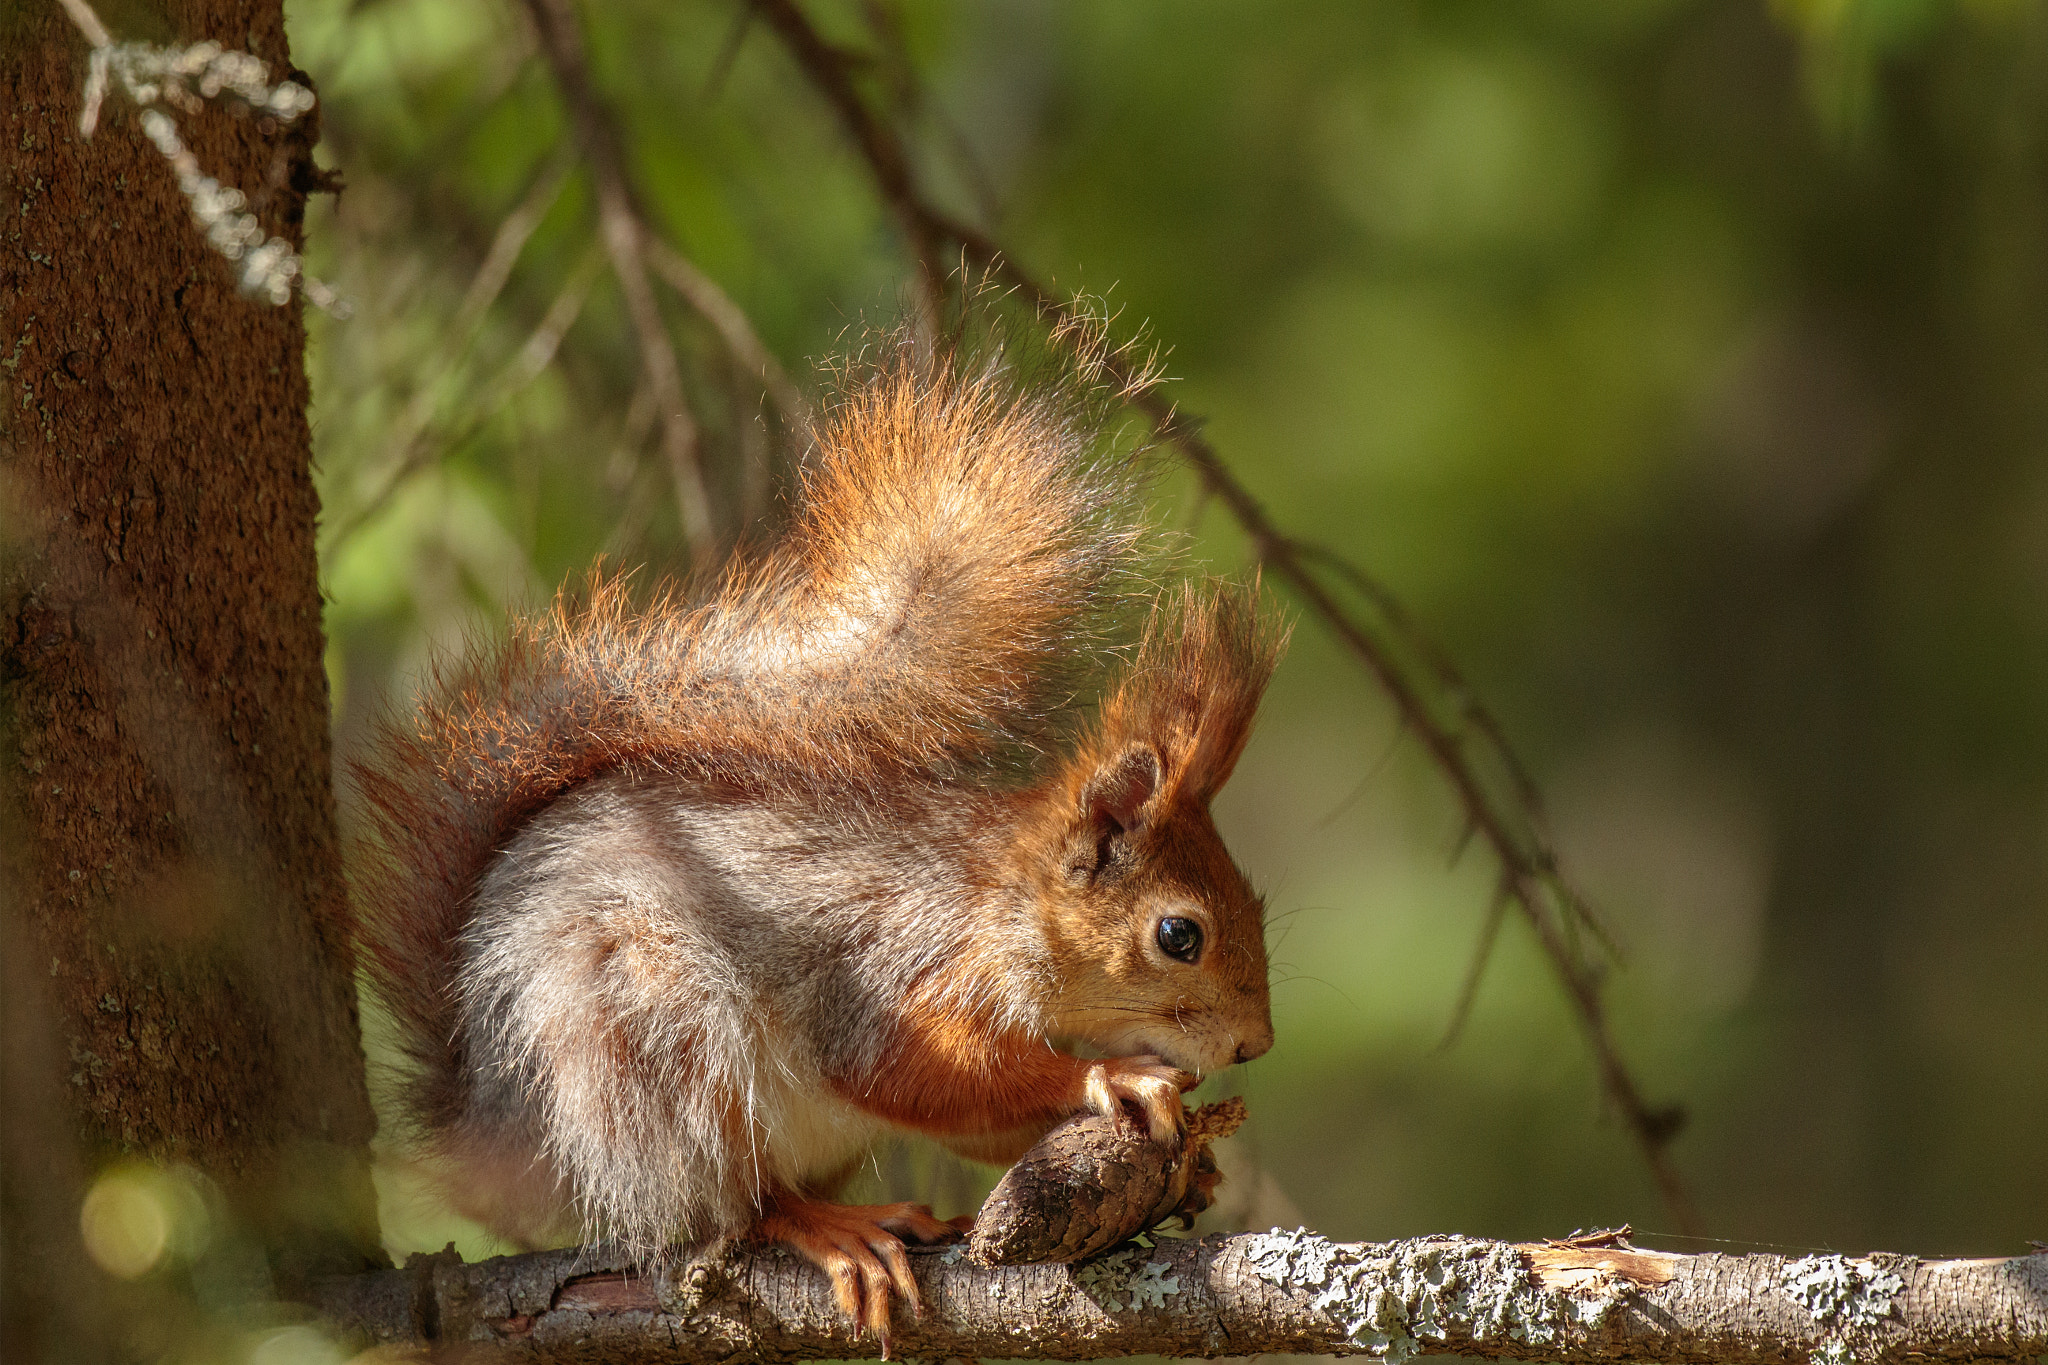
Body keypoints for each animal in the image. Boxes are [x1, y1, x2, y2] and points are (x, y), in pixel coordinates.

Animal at [352, 335, 1277, 1350]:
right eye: (1179, 935)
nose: (1257, 1044)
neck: (1003, 902)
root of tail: (497, 1129)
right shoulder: (896, 965)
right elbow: (919, 1068)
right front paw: (1110, 1075)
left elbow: (969, 1117)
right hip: (653, 1046)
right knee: (728, 1208)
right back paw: (831, 1230)